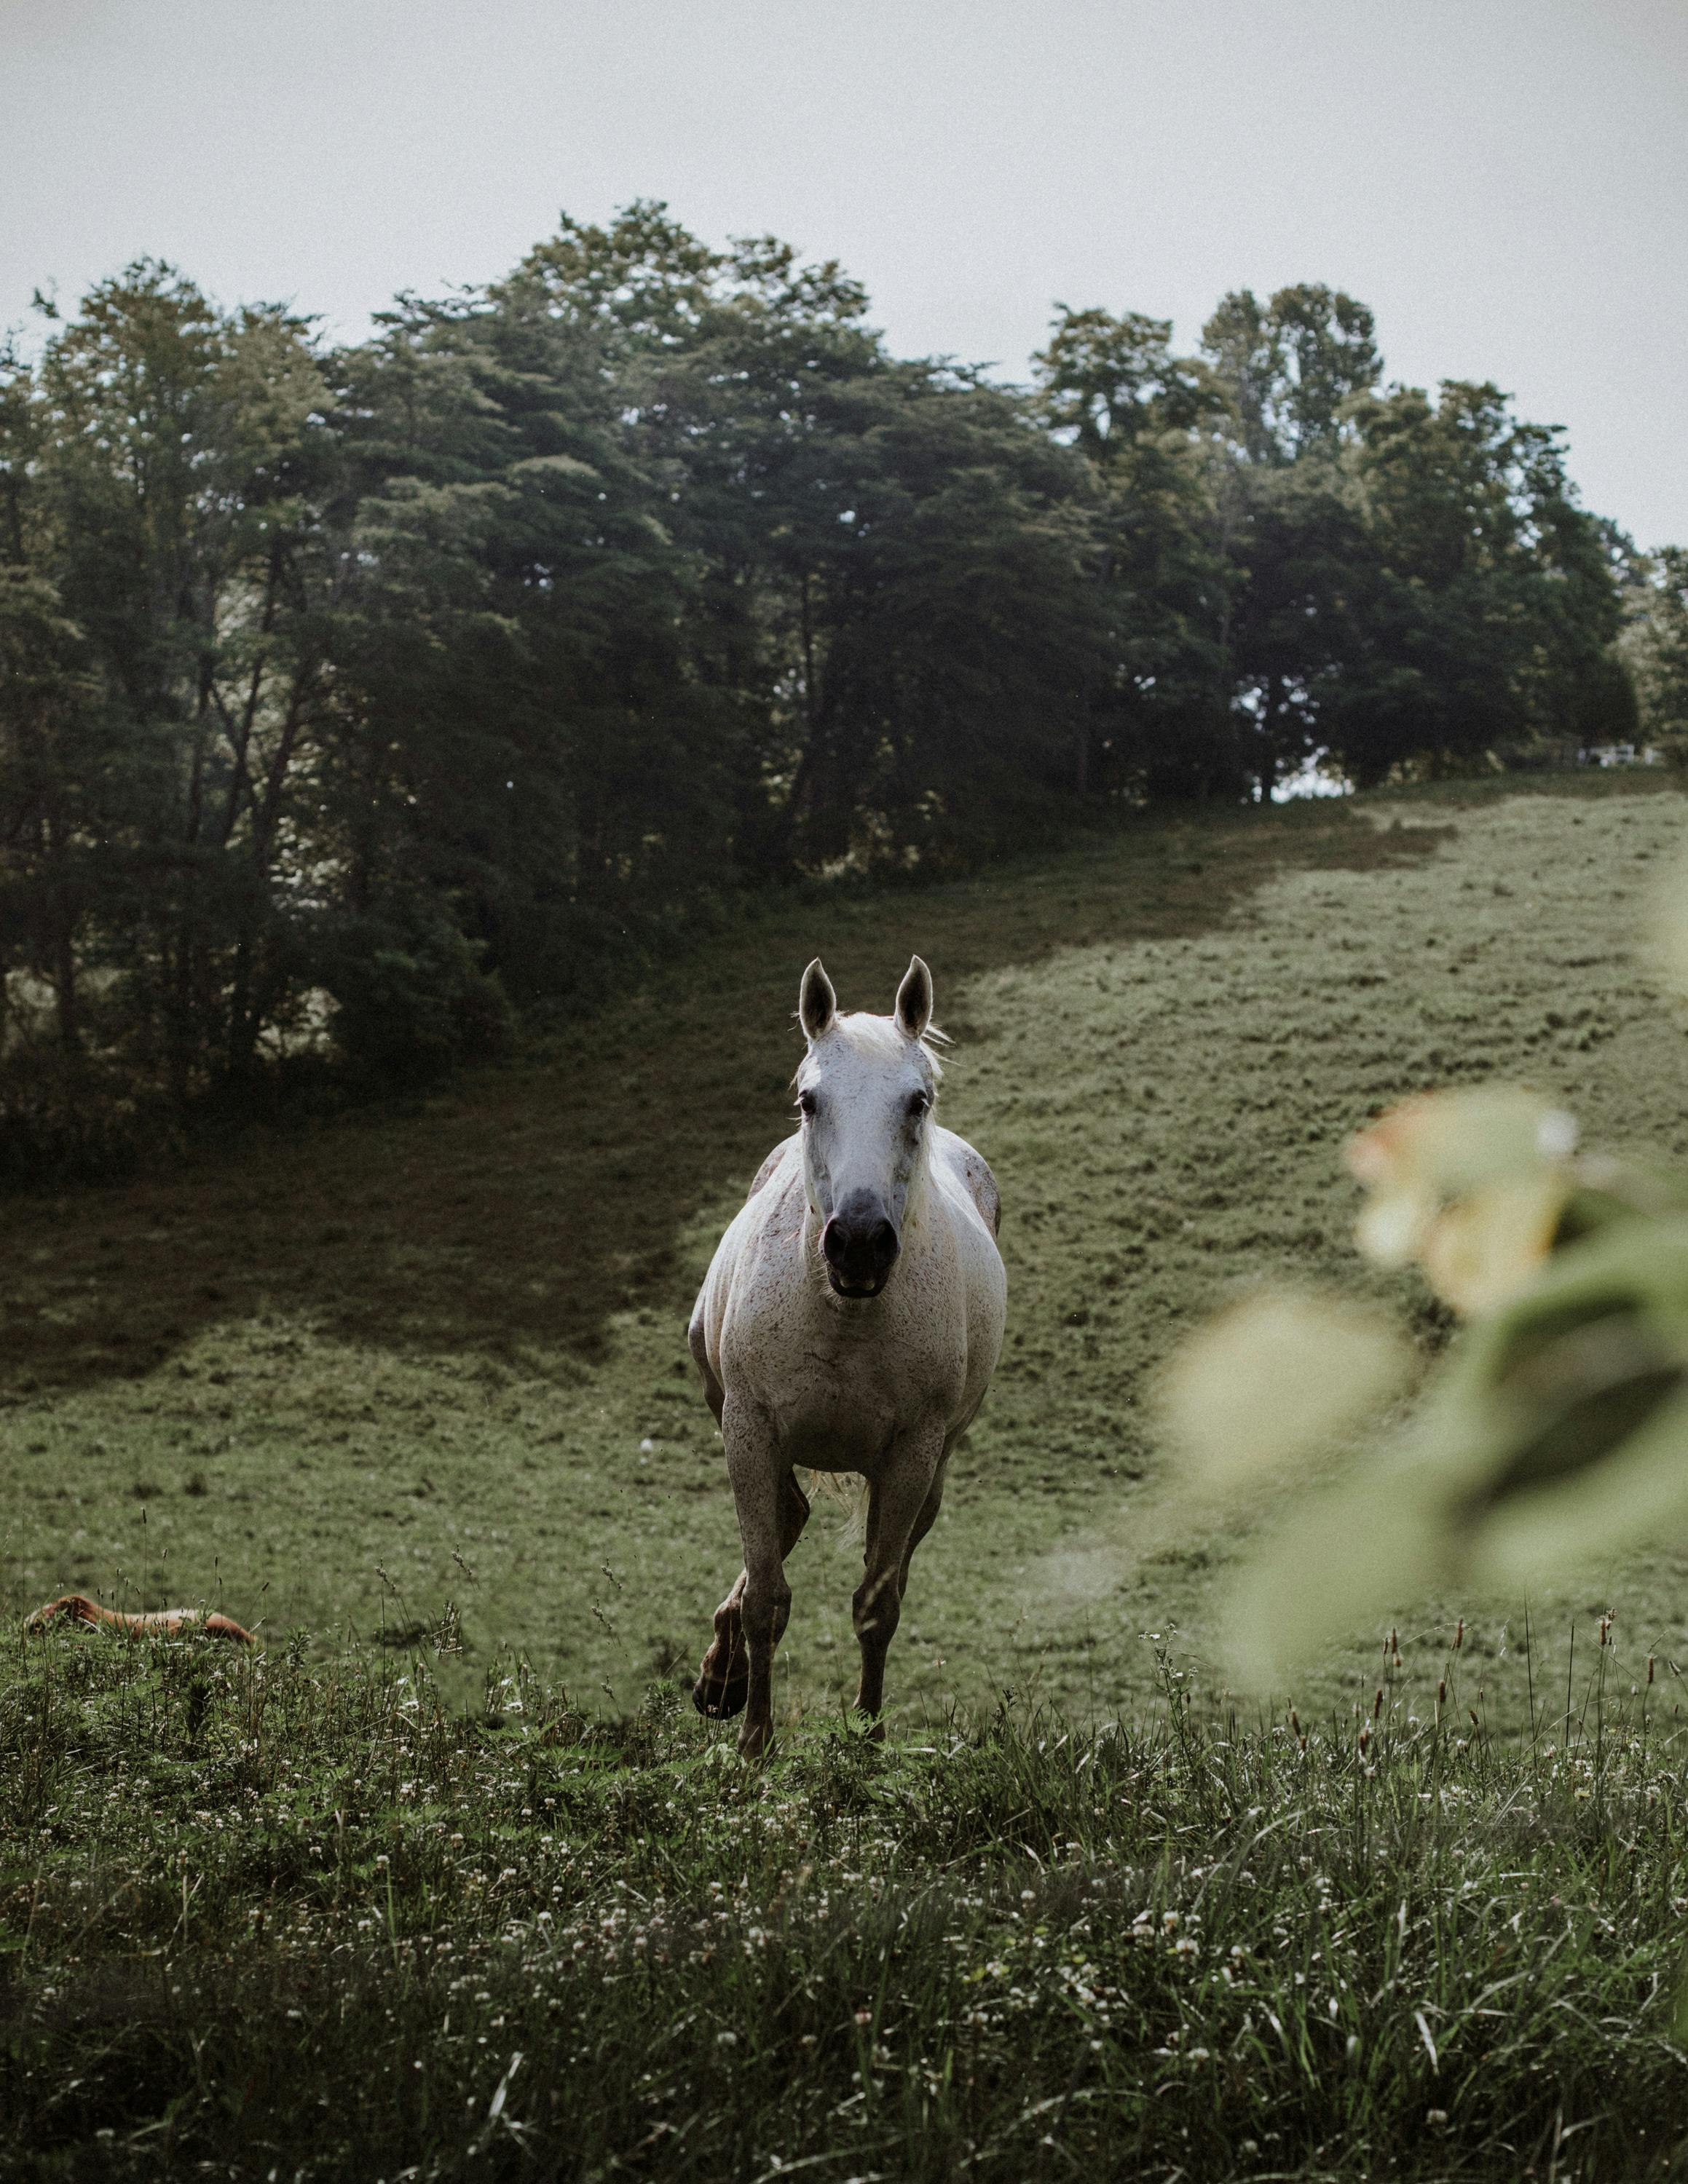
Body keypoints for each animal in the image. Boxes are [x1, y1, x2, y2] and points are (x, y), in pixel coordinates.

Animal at [685, 957, 1000, 1756]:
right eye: (808, 1100)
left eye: (916, 1100)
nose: (858, 1243)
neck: (843, 1317)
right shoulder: (748, 1427)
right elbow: (767, 1597)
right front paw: (754, 1742)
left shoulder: (911, 1455)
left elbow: (876, 1606)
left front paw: (866, 1736)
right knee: (786, 1518)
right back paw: (723, 1676)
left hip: (930, 1471)